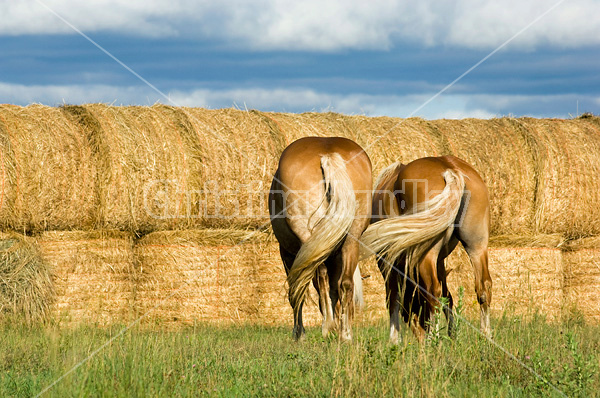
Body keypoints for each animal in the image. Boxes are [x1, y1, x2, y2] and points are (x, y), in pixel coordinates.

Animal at [270, 138, 372, 342]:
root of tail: (328, 154)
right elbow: (335, 288)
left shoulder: (287, 253)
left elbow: (296, 290)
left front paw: (299, 333)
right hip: (352, 239)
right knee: (345, 282)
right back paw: (345, 334)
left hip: (308, 238)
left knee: (321, 276)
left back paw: (328, 326)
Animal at [360, 155, 492, 342]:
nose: (420, 336)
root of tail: (449, 170)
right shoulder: (440, 261)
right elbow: (447, 296)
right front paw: (452, 335)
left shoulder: (386, 260)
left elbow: (393, 297)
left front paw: (394, 340)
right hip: (476, 247)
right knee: (483, 287)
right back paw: (486, 337)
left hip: (426, 255)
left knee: (432, 292)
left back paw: (433, 339)